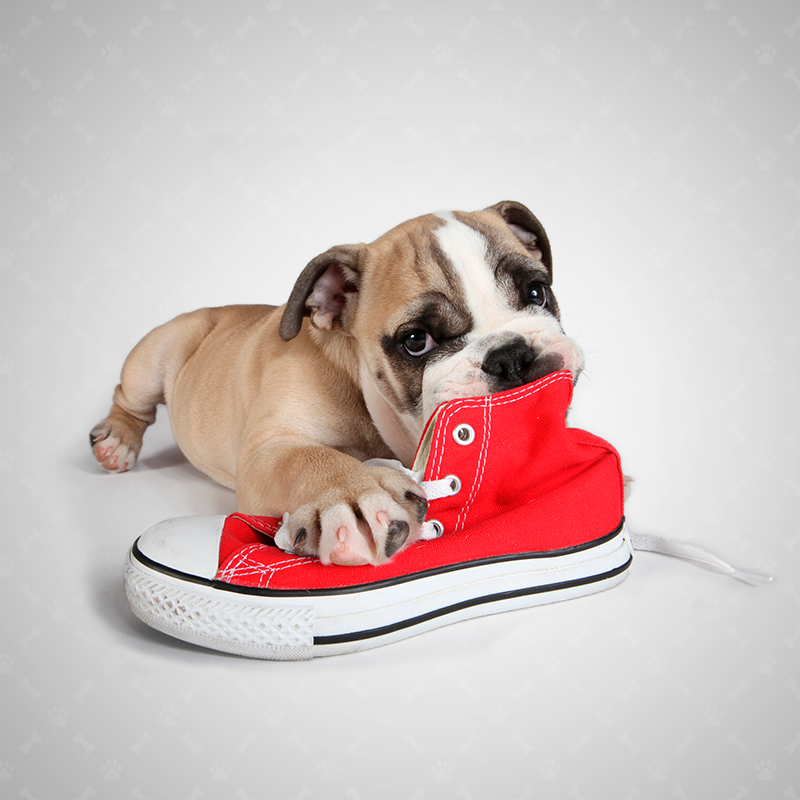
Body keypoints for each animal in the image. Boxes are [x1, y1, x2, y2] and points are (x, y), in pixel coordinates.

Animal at [90, 201, 584, 567]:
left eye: (538, 292)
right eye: (416, 341)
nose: (510, 355)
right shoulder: (270, 448)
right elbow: (308, 459)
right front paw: (353, 495)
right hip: (154, 354)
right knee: (130, 400)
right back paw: (117, 440)